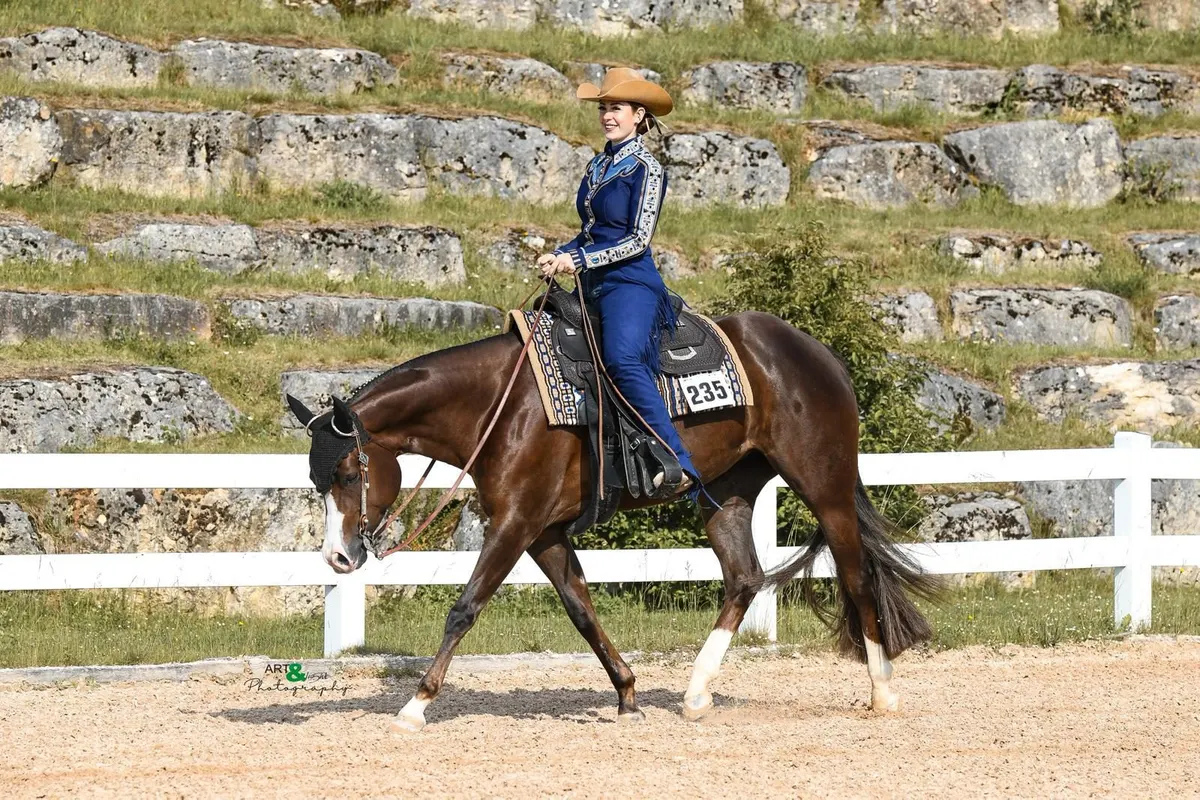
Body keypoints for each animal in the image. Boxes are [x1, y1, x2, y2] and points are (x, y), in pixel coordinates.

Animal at [286, 307, 938, 733]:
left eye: (347, 473)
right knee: (744, 579)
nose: (338, 558)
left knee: (855, 577)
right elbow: (580, 609)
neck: (501, 403)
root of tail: (821, 354)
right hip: (726, 495)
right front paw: (626, 694)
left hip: (825, 489)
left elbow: (465, 607)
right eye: (316, 480)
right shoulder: (544, 533)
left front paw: (415, 705)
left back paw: (882, 693)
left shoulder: (515, 524)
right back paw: (695, 695)